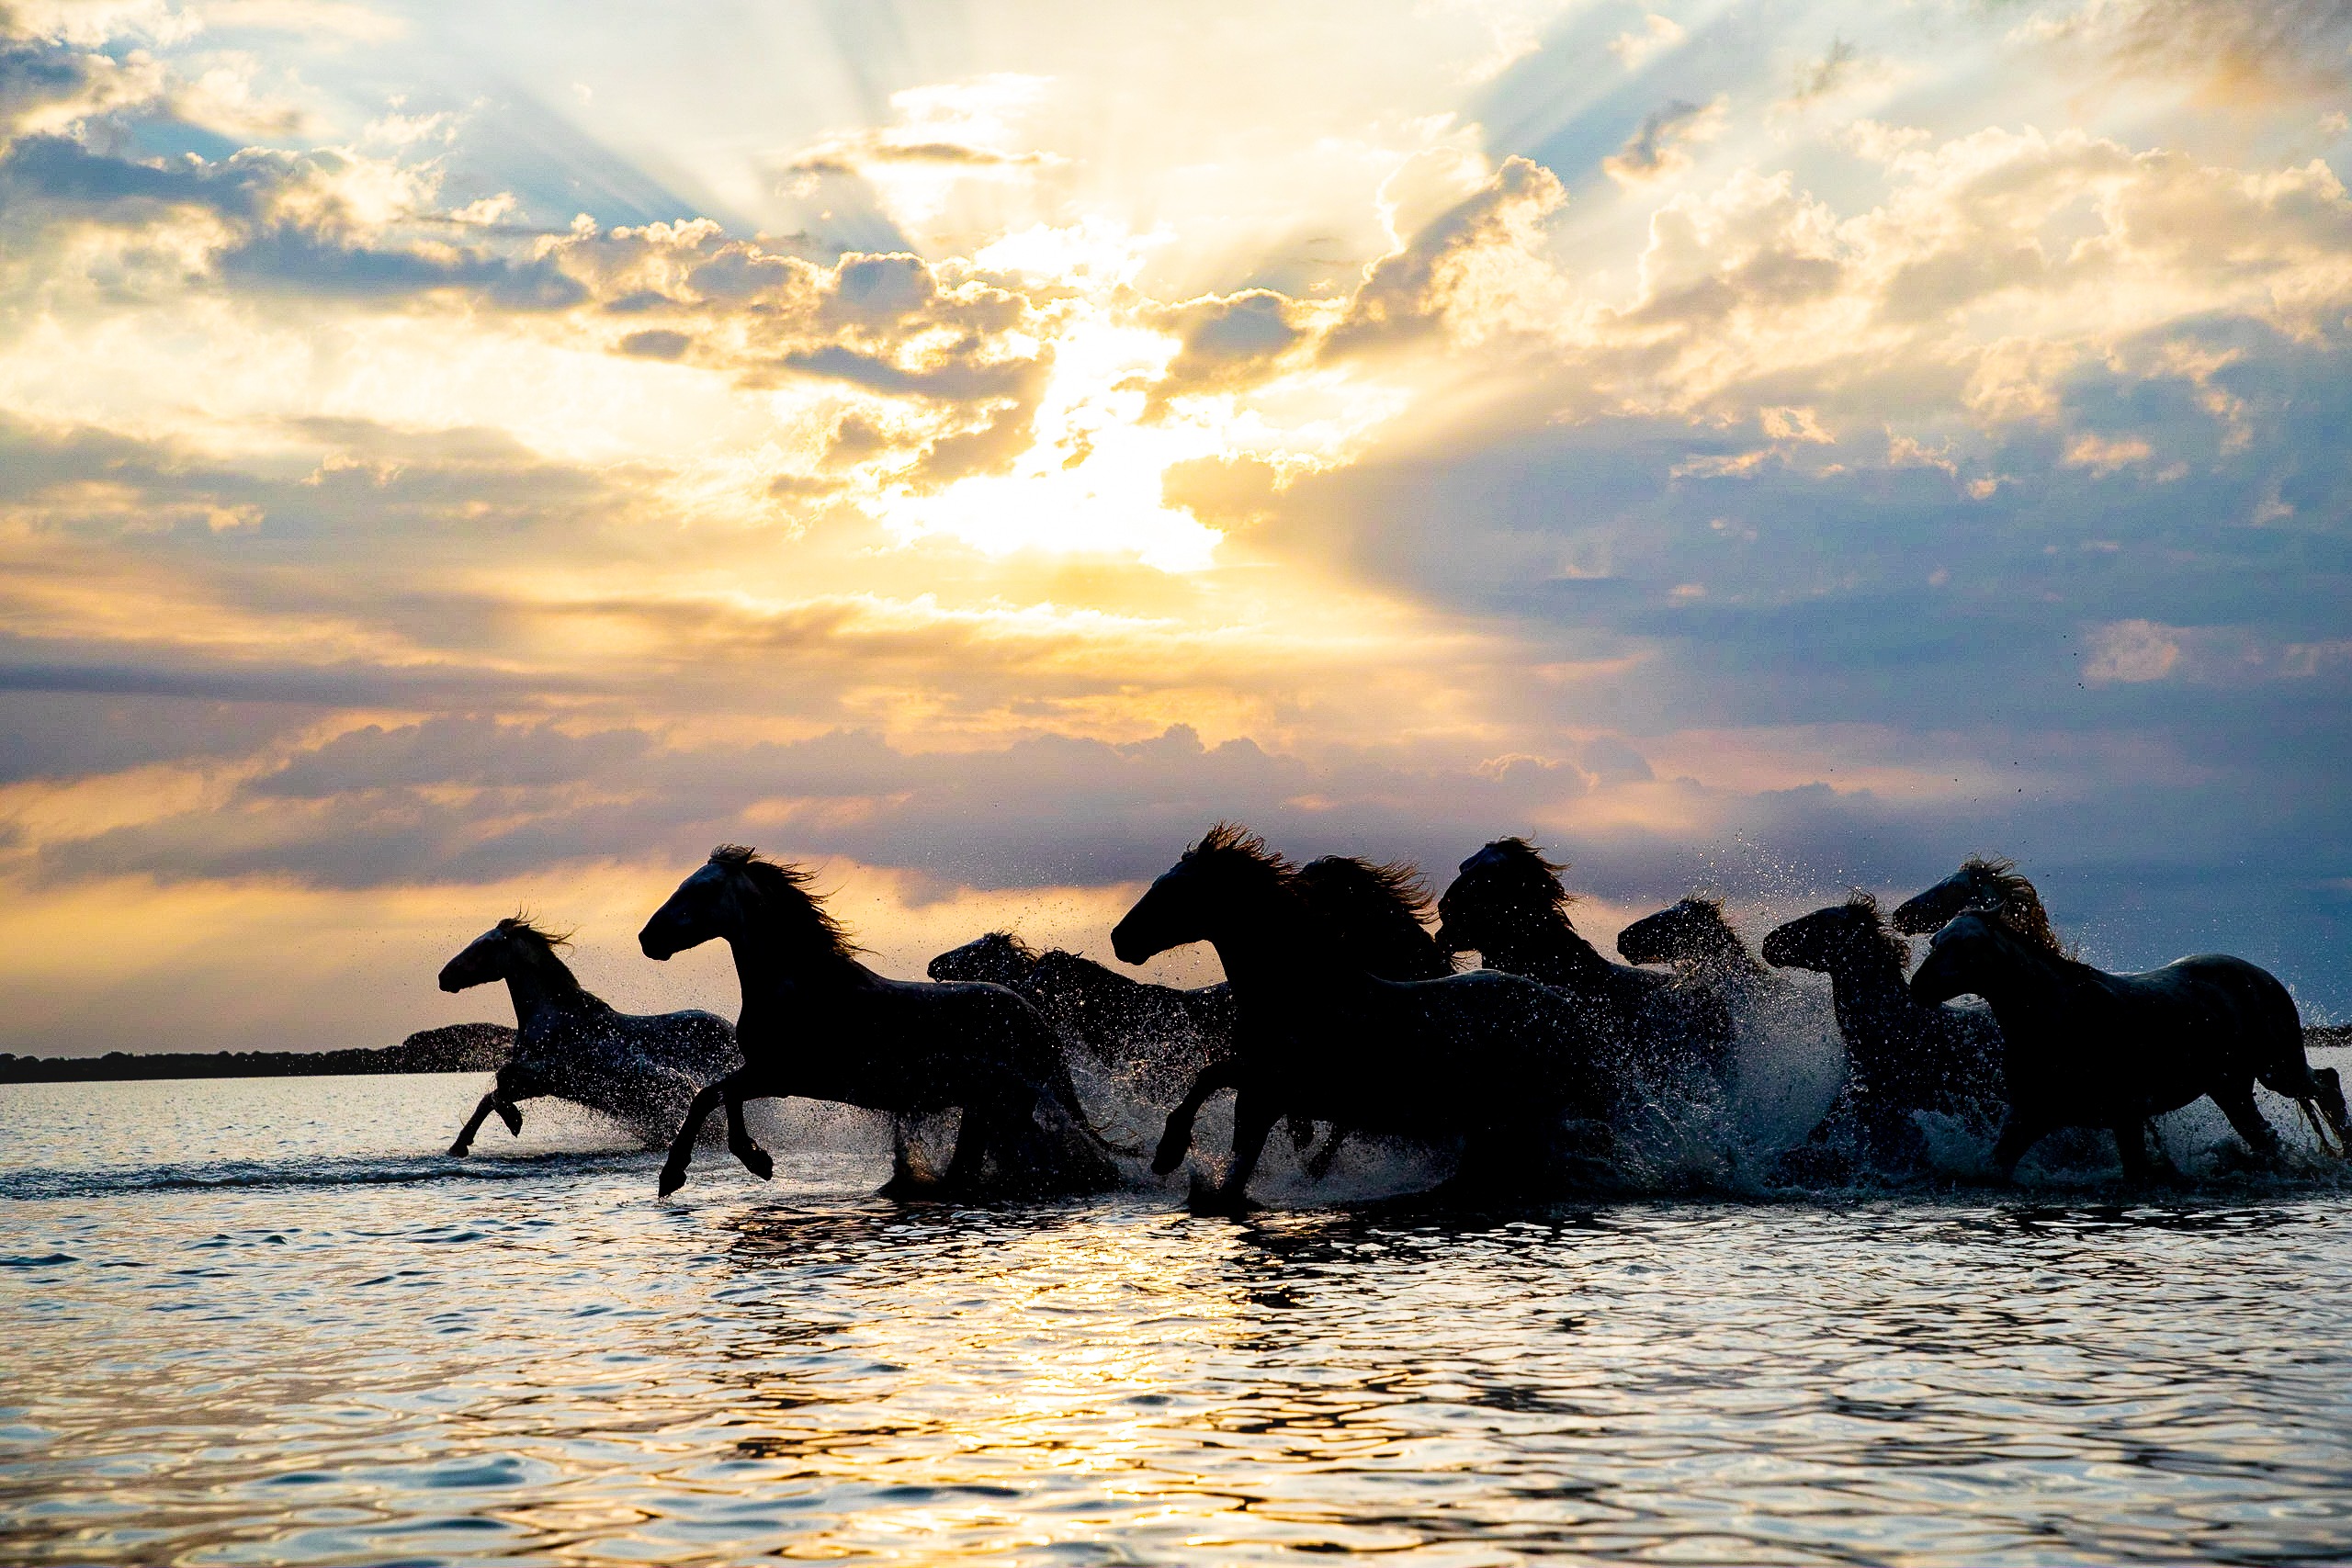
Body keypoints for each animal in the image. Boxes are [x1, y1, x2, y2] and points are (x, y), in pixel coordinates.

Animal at [438, 917, 738, 1156]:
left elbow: (501, 1079)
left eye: (483, 946)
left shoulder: (549, 1072)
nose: (443, 977)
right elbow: (489, 1098)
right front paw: (459, 1146)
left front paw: (514, 1122)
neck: (553, 1016)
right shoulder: (538, 1085)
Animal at [643, 846, 1121, 1199]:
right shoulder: (766, 1072)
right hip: (986, 1103)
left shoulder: (783, 1074)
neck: (798, 985)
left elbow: (711, 1095)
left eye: (701, 890)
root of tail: (1035, 1017)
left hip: (1003, 1101)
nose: (648, 939)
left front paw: (691, 1171)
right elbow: (720, 1095)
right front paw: (752, 1161)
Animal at [1113, 824, 1619, 1212]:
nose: (1120, 939)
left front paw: (1169, 1153)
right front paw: (1171, 1157)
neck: (1300, 993)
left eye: (1172, 891)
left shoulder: (1278, 1088)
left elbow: (1214, 1082)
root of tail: (1566, 1010)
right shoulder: (1259, 1094)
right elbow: (1218, 1105)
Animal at [1910, 904, 2351, 1179]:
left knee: (2327, 1082)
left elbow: (2136, 1172)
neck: (2060, 1015)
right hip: (2231, 1088)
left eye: (1968, 945)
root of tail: (2261, 976)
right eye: (1935, 941)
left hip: (2278, 1068)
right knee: (2265, 1136)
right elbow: (1995, 1166)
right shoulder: (2030, 1115)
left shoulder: (2126, 1114)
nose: (1918, 986)